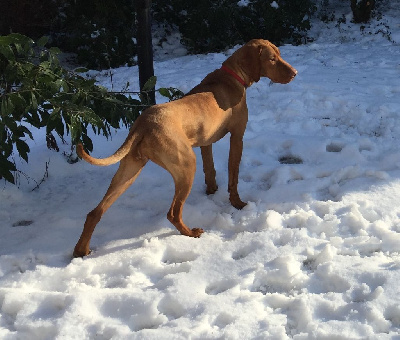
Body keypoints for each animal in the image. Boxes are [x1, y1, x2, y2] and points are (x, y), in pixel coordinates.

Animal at [73, 39, 296, 256]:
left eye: (279, 55)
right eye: (272, 59)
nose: (295, 73)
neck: (232, 76)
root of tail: (144, 123)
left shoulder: (206, 142)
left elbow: (210, 170)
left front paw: (212, 191)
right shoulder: (237, 138)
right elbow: (233, 176)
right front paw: (237, 204)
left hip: (129, 170)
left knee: (95, 212)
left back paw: (80, 250)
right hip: (186, 166)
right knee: (173, 212)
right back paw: (190, 233)